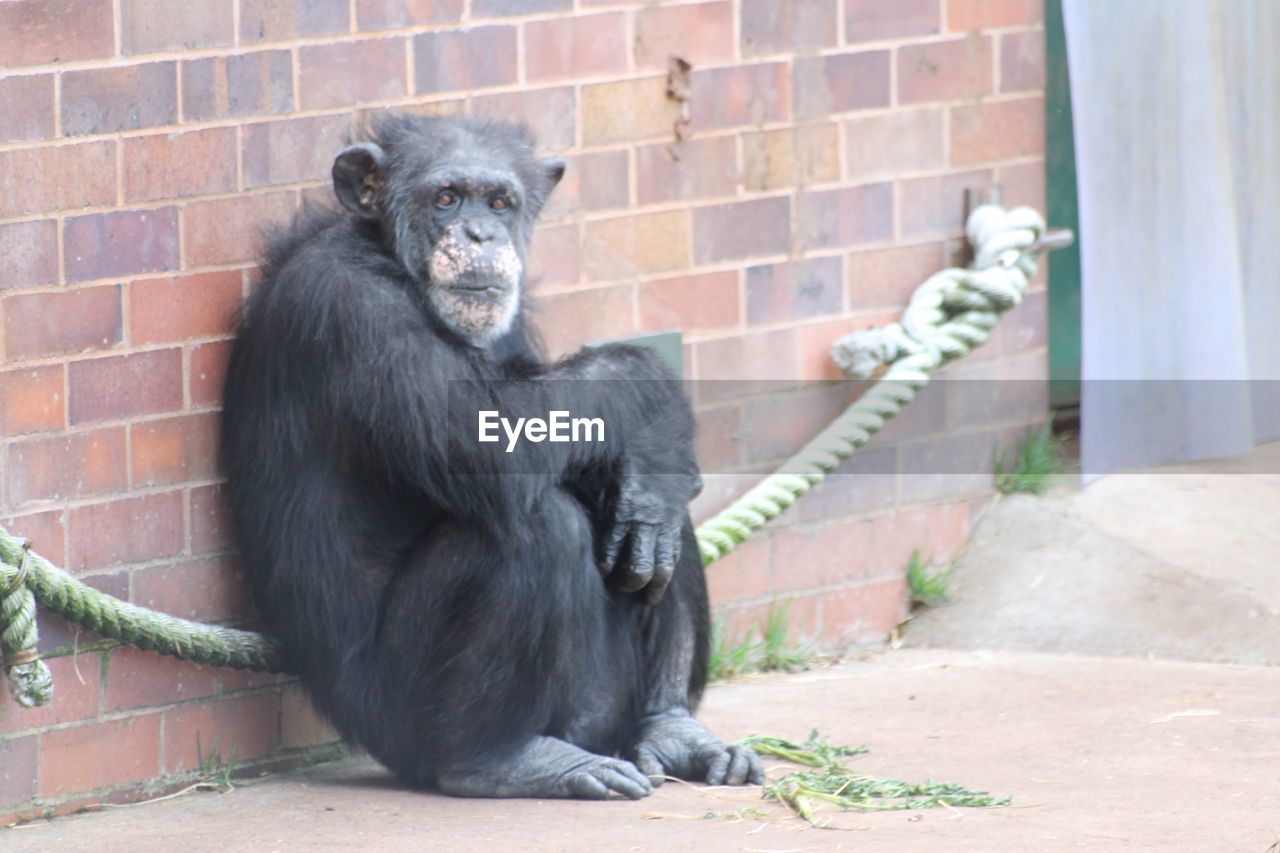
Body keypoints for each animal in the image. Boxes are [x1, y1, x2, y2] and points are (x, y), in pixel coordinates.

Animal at [218, 114, 757, 799]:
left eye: (501, 203)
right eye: (446, 198)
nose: (481, 232)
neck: (389, 257)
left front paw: (658, 453)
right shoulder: (351, 305)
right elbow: (485, 437)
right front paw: (652, 391)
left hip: (599, 708)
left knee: (649, 511)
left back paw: (671, 727)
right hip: (397, 716)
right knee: (536, 527)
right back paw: (502, 758)